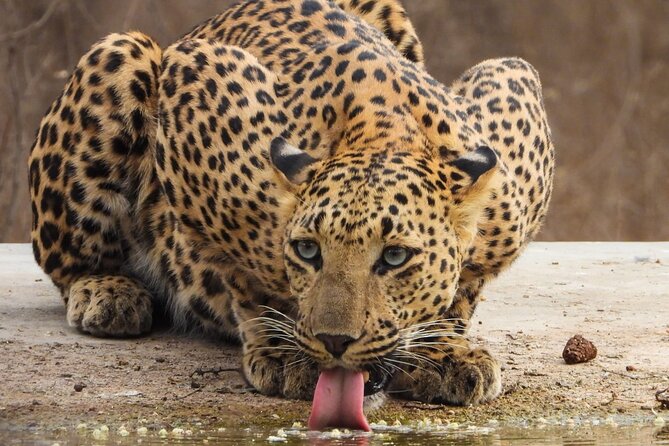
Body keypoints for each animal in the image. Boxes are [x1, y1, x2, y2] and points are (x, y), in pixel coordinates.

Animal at [28, 0, 554, 408]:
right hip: (124, 55)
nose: (335, 341)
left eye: (394, 257)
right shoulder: (194, 73)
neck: (383, 131)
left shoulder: (513, 89)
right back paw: (108, 293)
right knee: (68, 257)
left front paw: (442, 351)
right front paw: (285, 351)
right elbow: (241, 263)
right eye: (307, 250)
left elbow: (464, 287)